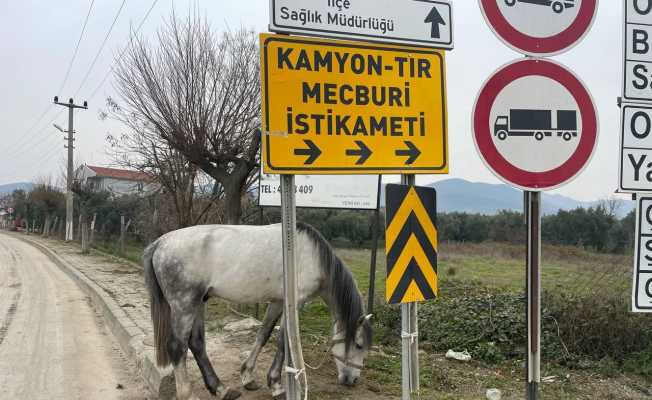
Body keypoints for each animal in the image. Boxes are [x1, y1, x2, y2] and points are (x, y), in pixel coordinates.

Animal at [145, 222, 374, 400]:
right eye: (358, 345)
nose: (353, 380)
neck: (312, 256)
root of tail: (160, 243)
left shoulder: (277, 302)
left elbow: (263, 334)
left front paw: (248, 376)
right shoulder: (294, 304)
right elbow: (283, 342)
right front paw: (276, 385)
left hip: (199, 302)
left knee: (197, 343)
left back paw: (220, 389)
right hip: (184, 304)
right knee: (177, 347)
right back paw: (188, 393)